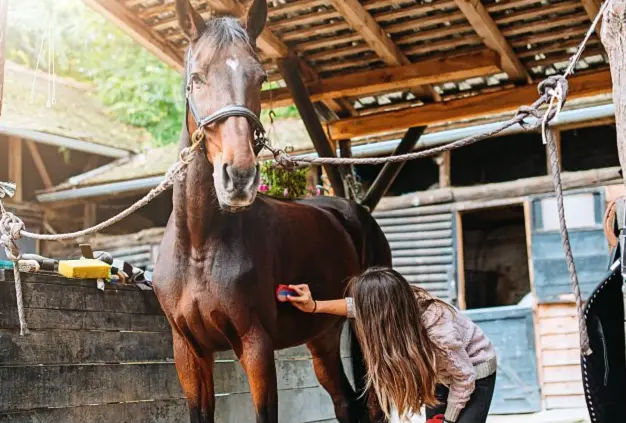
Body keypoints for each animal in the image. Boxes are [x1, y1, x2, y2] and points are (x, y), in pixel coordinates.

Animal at [153, 1, 388, 422]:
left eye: (260, 78)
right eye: (196, 78)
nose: (239, 176)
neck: (198, 247)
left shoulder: (255, 345)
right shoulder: (189, 351)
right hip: (323, 336)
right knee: (346, 402)